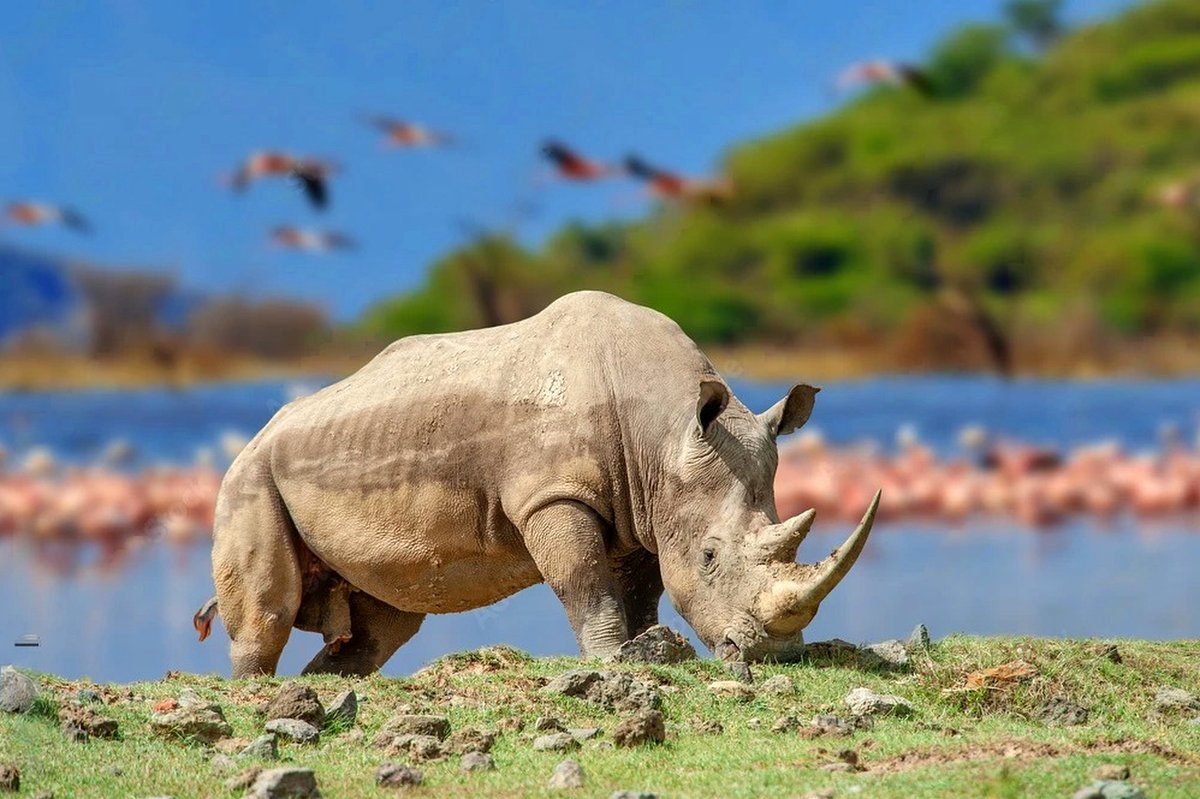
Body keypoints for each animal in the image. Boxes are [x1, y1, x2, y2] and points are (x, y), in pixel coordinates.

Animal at [194, 291, 880, 676]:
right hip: (248, 476)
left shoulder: (646, 511)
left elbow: (641, 592)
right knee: (269, 612)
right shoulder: (552, 495)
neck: (664, 431)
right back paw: (256, 692)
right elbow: (586, 585)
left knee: (383, 625)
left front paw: (646, 650)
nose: (773, 656)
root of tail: (260, 431)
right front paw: (611, 664)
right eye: (710, 557)